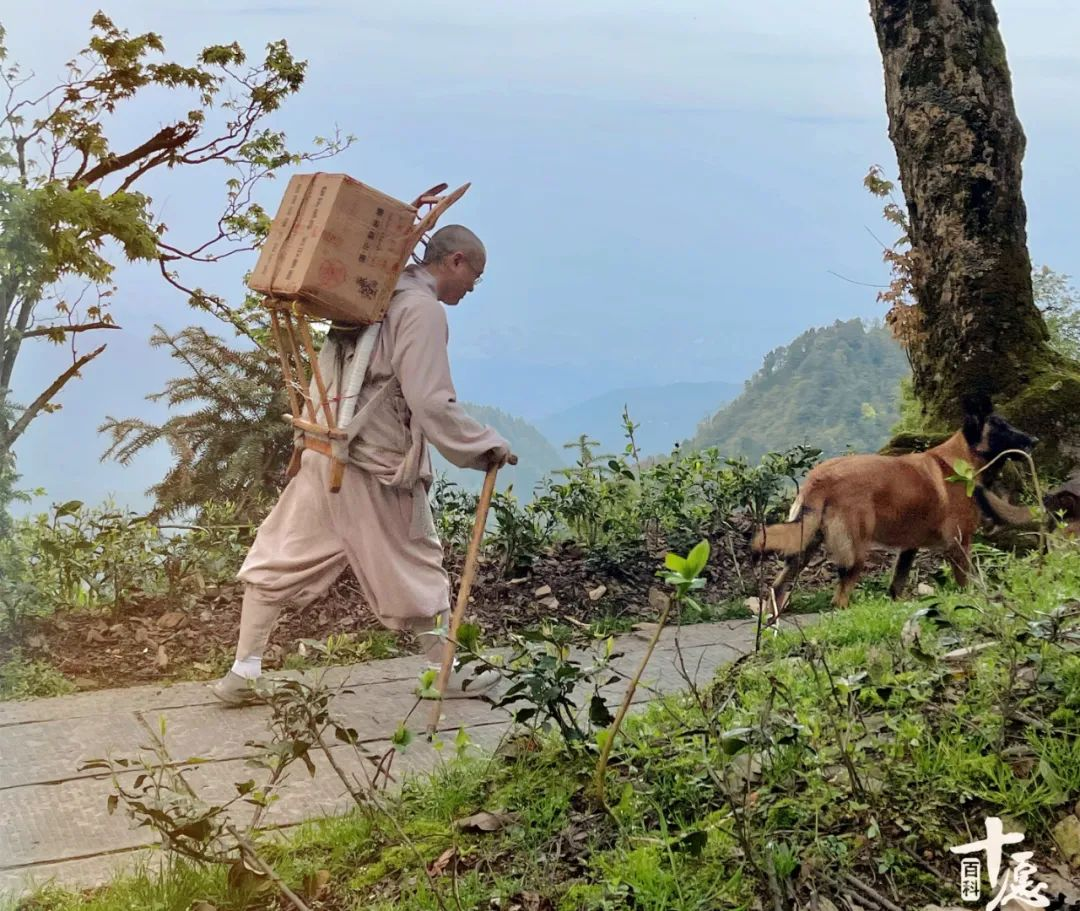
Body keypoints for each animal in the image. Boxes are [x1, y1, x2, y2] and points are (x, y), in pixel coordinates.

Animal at [751, 392, 1036, 613]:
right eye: (1001, 426)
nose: (1034, 440)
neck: (959, 462)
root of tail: (820, 478)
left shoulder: (908, 548)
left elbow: (896, 586)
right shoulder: (958, 545)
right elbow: (967, 585)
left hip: (803, 549)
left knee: (777, 589)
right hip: (855, 555)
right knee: (838, 599)